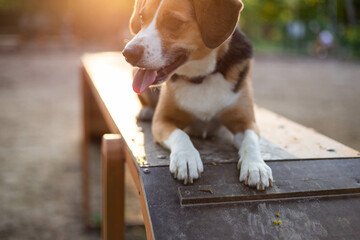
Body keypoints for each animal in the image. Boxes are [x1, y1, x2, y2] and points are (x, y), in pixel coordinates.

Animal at [121, 0, 272, 190]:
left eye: (173, 22)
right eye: (141, 17)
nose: (128, 53)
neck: (201, 77)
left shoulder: (246, 122)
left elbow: (250, 141)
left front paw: (256, 166)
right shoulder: (162, 121)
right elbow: (181, 134)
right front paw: (186, 158)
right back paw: (146, 111)